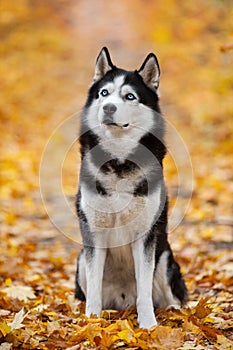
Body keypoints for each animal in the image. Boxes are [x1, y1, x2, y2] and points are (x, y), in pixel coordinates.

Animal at [75, 47, 187, 328]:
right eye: (104, 93)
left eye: (130, 96)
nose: (108, 107)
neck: (119, 159)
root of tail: (122, 303)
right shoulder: (94, 234)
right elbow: (94, 287)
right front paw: (92, 321)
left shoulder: (145, 236)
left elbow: (144, 289)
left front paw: (148, 325)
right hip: (81, 260)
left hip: (165, 258)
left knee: (171, 297)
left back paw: (174, 312)